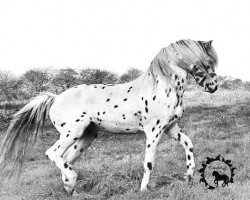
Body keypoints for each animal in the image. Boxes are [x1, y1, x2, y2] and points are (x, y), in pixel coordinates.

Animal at [0, 38, 219, 194]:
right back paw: (71, 180)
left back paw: (70, 187)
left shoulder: (171, 128)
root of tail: (55, 98)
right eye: (208, 62)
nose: (213, 87)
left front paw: (189, 175)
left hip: (86, 136)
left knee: (66, 159)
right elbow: (149, 162)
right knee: (53, 154)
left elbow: (189, 144)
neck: (162, 87)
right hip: (72, 133)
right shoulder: (154, 132)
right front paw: (144, 189)